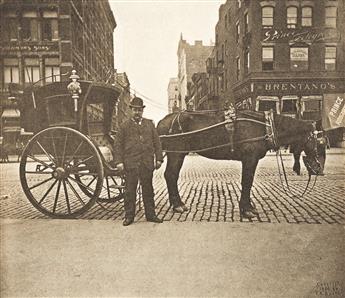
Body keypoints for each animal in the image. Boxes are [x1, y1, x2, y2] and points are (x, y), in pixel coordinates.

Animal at [157, 109, 324, 219]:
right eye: (317, 141)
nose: (318, 168)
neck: (265, 126)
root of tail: (162, 122)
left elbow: (247, 182)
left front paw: (247, 206)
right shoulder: (250, 158)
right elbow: (247, 182)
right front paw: (247, 209)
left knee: (170, 176)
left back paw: (176, 204)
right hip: (176, 153)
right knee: (171, 175)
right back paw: (178, 205)